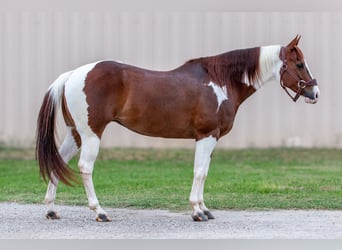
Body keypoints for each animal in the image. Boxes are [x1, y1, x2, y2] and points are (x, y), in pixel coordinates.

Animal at [36, 35, 320, 221]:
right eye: (299, 64)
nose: (315, 93)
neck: (220, 81)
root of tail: (72, 75)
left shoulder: (212, 139)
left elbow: (204, 172)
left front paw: (204, 209)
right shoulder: (206, 136)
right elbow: (199, 172)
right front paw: (196, 211)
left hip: (76, 134)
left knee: (59, 162)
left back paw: (51, 210)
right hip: (91, 134)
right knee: (85, 168)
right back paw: (100, 212)